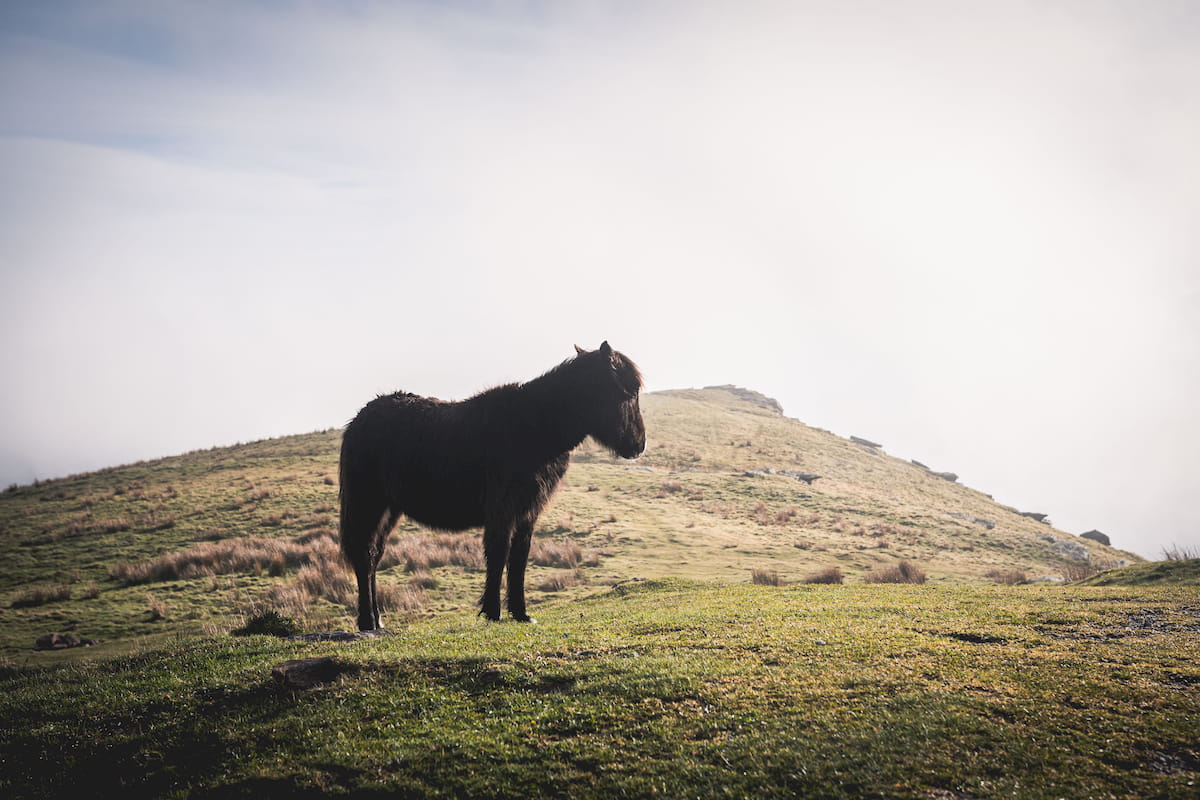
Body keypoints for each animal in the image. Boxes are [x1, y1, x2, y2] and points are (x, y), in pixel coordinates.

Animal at [338, 345, 643, 633]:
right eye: (628, 392)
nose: (639, 445)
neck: (537, 426)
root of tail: (359, 419)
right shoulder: (503, 510)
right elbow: (498, 554)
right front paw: (493, 612)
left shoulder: (527, 512)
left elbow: (519, 558)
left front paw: (521, 613)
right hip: (369, 505)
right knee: (365, 556)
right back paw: (367, 621)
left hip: (389, 510)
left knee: (374, 556)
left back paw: (378, 620)